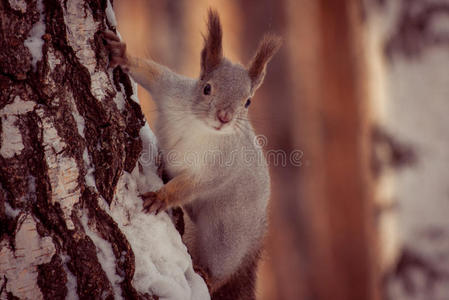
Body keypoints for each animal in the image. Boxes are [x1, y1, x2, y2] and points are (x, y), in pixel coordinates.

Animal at [104, 9, 280, 300]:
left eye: (247, 102)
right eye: (206, 88)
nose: (224, 117)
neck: (200, 127)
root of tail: (256, 236)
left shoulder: (220, 167)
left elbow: (190, 186)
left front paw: (161, 197)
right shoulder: (171, 91)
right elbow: (152, 74)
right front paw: (122, 55)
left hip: (226, 237)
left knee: (222, 271)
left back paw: (208, 276)